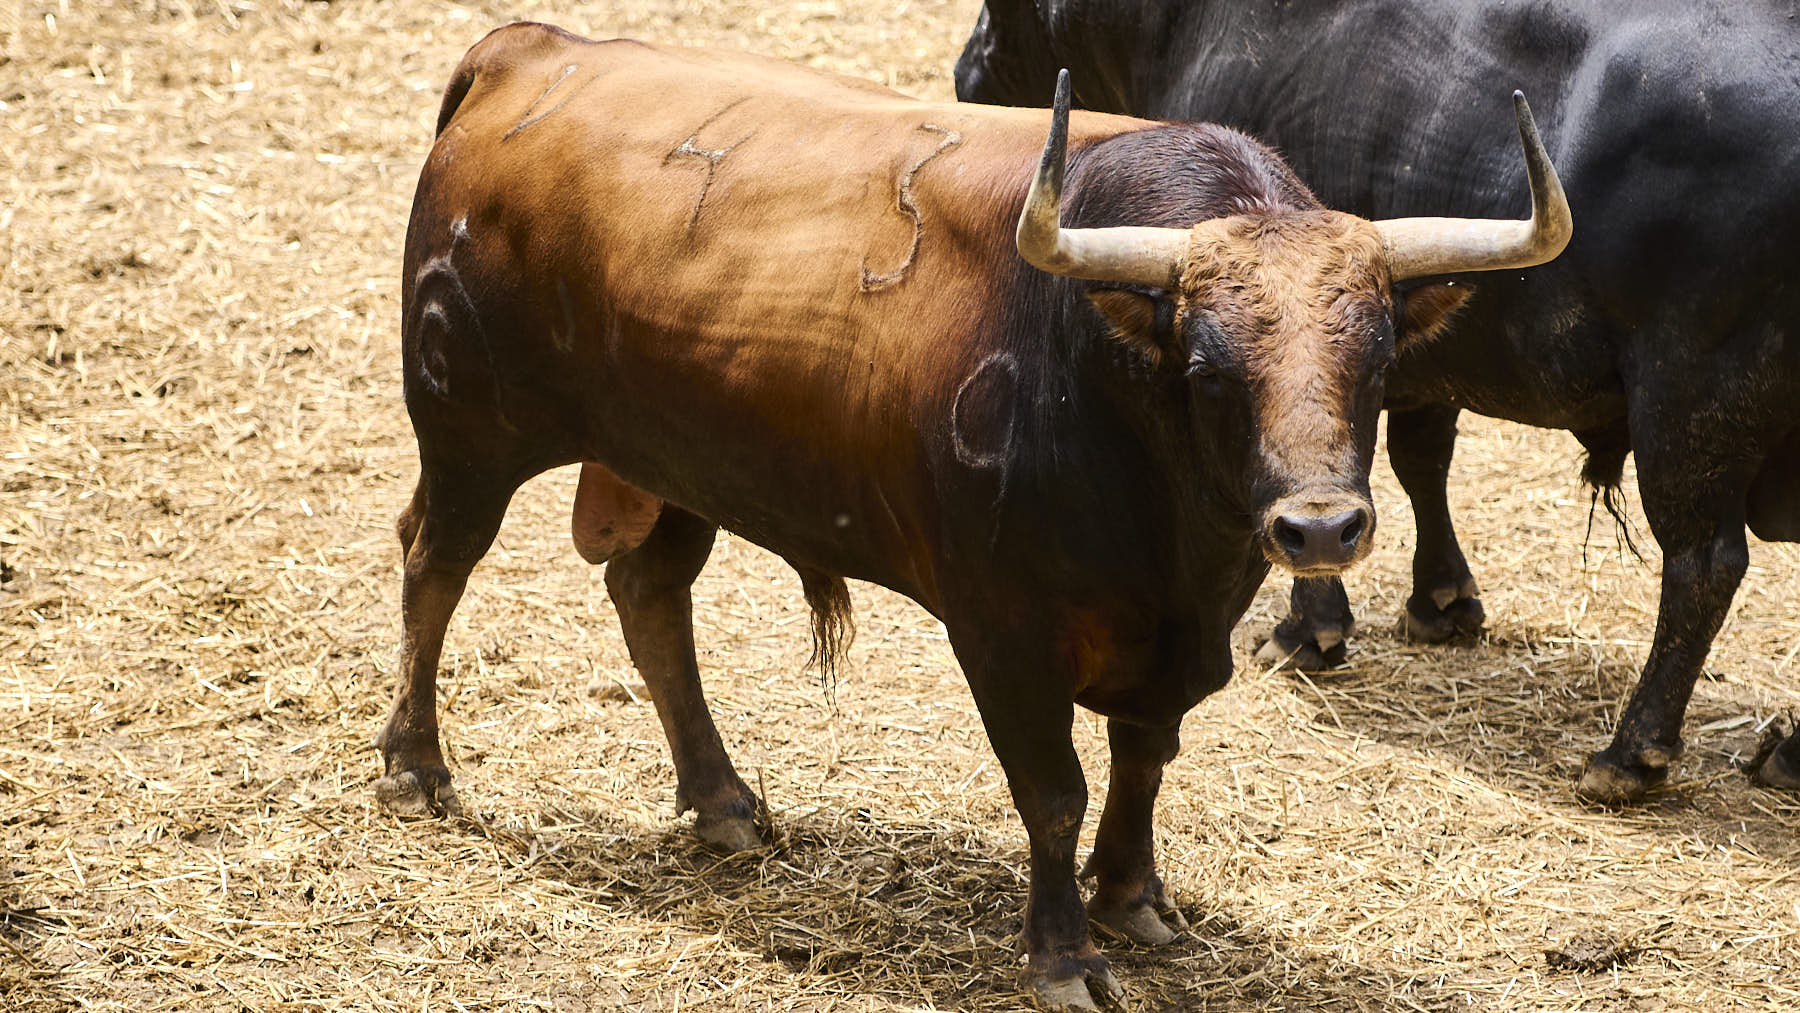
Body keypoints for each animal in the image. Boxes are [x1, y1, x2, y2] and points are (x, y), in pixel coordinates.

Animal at [387, 21, 1569, 1007]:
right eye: (1208, 368)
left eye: (1377, 358)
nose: (1320, 527)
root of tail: (532, 50)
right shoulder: (1004, 634)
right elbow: (1054, 791)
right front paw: (1063, 955)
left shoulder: (1176, 638)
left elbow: (1144, 760)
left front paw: (1131, 897)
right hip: (470, 432)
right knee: (434, 567)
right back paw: (416, 764)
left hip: (675, 461)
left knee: (649, 594)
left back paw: (721, 799)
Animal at [964, 1, 1800, 809]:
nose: (964, 72)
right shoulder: (1427, 365)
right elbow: (1417, 459)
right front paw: (1442, 599)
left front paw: (1313, 629)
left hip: (1688, 401)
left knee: (1703, 563)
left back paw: (1631, 752)